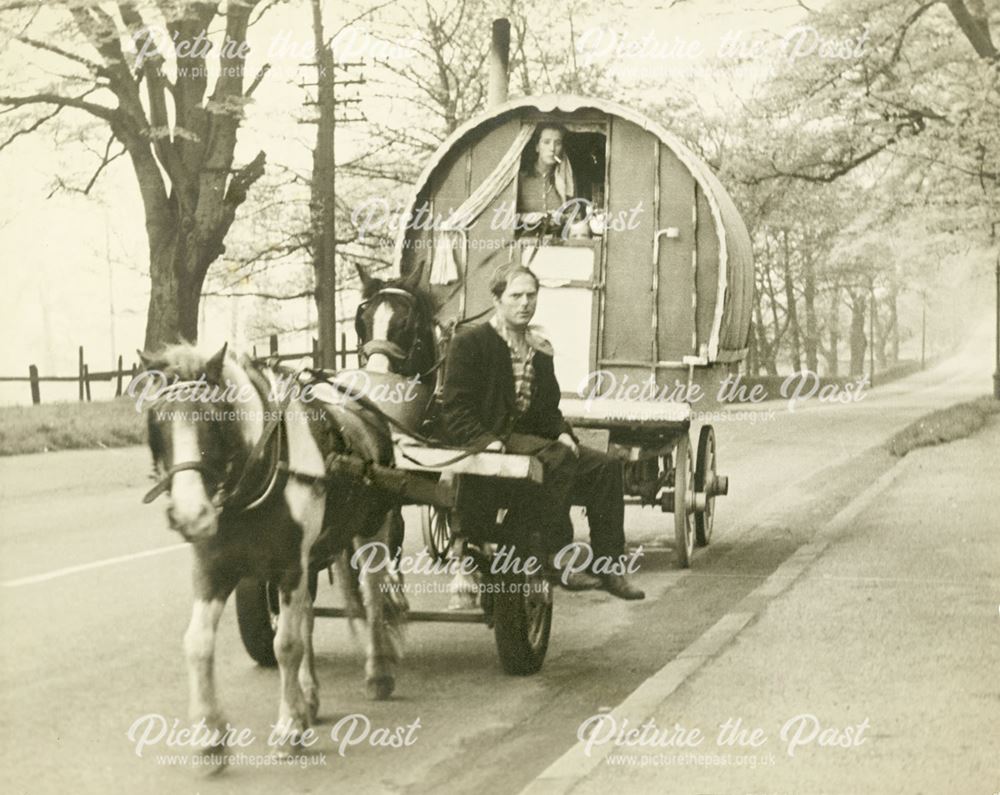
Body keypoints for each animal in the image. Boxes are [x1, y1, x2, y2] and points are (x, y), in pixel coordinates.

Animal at [141, 342, 406, 764]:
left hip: (371, 531)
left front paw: (288, 728)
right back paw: (309, 696)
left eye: (213, 420)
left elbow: (286, 644)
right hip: (315, 555)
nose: (190, 514)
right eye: (156, 423)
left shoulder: (289, 566)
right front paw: (210, 734)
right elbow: (198, 642)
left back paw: (377, 671)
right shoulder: (214, 567)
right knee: (308, 616)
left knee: (373, 596)